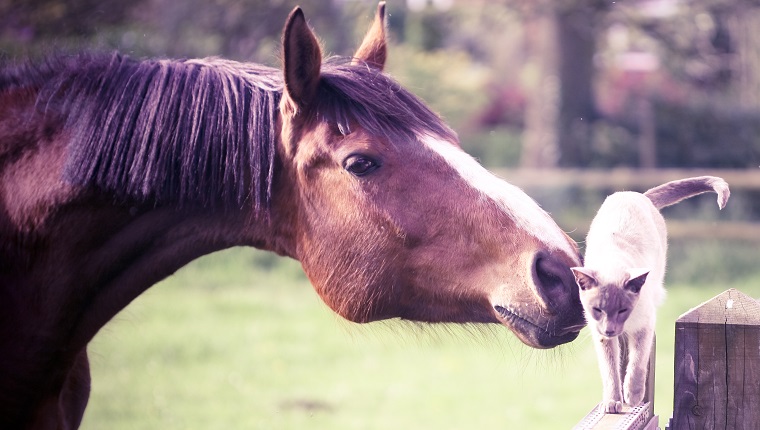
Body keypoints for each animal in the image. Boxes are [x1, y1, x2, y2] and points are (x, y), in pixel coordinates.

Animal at [572, 176, 728, 414]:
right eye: (597, 310)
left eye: (623, 310)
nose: (610, 329)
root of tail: (635, 194)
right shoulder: (601, 336)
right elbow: (611, 371)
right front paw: (613, 403)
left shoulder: (643, 327)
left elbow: (637, 364)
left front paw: (633, 397)